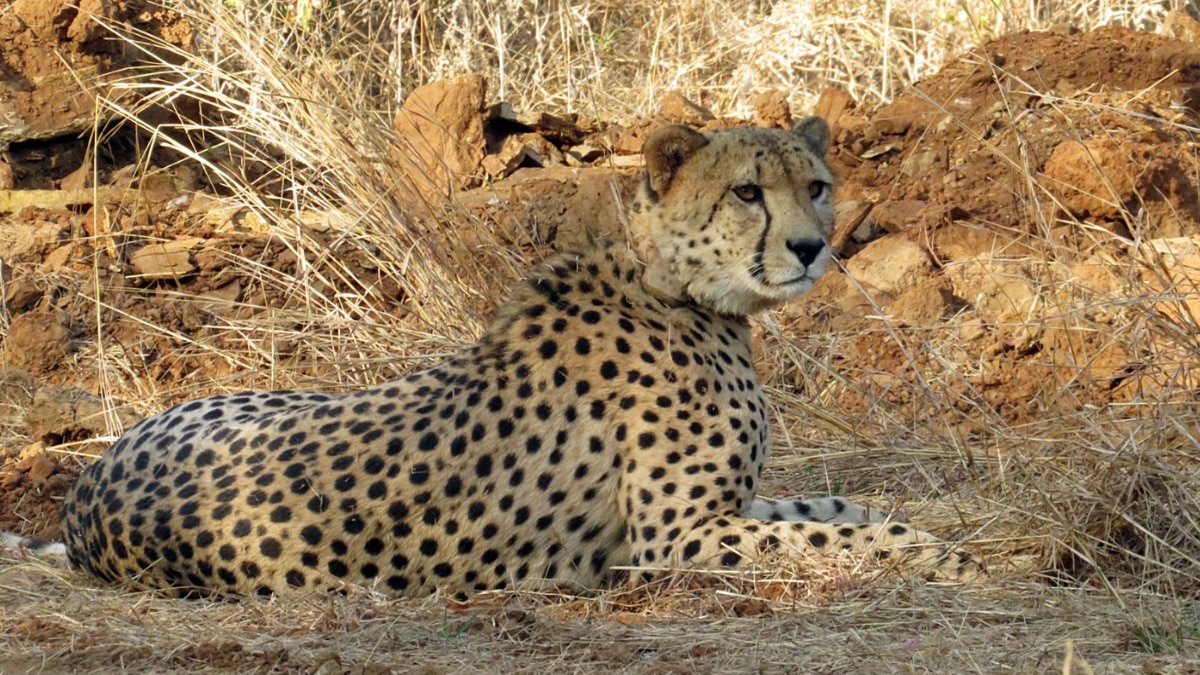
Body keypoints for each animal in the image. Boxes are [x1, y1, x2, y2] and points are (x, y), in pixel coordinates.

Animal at [50, 117, 983, 598]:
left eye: (815, 185)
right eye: (747, 192)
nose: (810, 247)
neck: (676, 287)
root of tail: (83, 496)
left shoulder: (728, 508)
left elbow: (838, 507)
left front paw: (931, 532)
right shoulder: (673, 537)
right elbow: (835, 536)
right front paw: (946, 559)